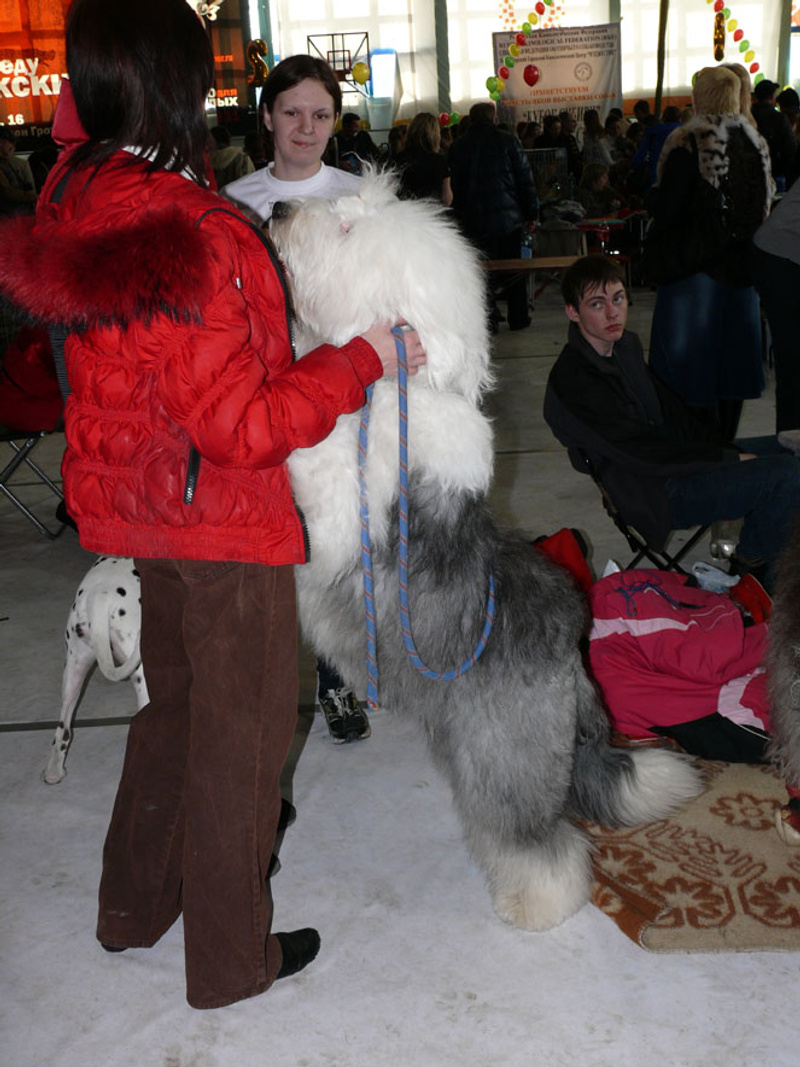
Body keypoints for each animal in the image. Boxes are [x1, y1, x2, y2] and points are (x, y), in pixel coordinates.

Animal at [269, 171, 702, 931]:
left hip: (504, 752)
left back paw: (534, 902)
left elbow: (313, 456)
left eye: (346, 230)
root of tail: (574, 649)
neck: (398, 384)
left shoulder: (343, 505)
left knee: (538, 838)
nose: (277, 207)